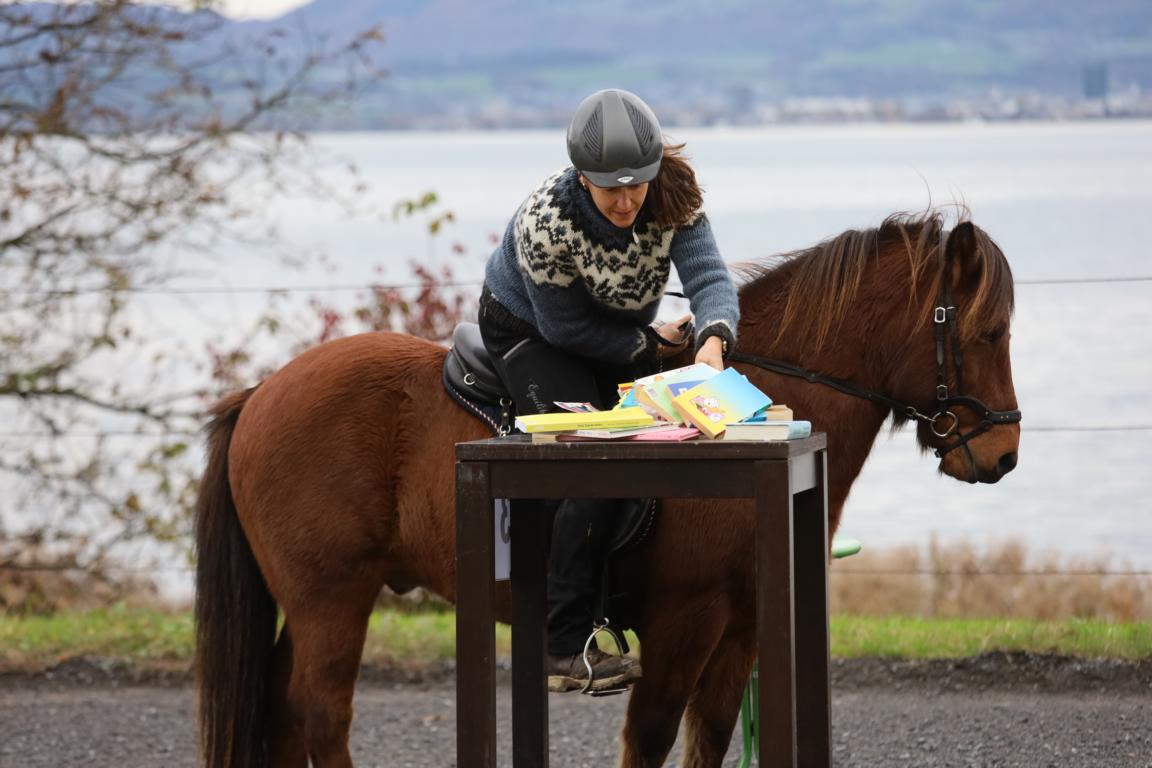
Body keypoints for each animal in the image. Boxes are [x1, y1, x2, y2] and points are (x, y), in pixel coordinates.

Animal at [194, 211, 1021, 768]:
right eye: (987, 333)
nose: (1003, 454)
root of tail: (262, 394)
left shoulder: (743, 627)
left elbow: (708, 737)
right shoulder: (684, 620)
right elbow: (650, 736)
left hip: (310, 603)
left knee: (280, 709)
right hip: (332, 597)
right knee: (320, 713)